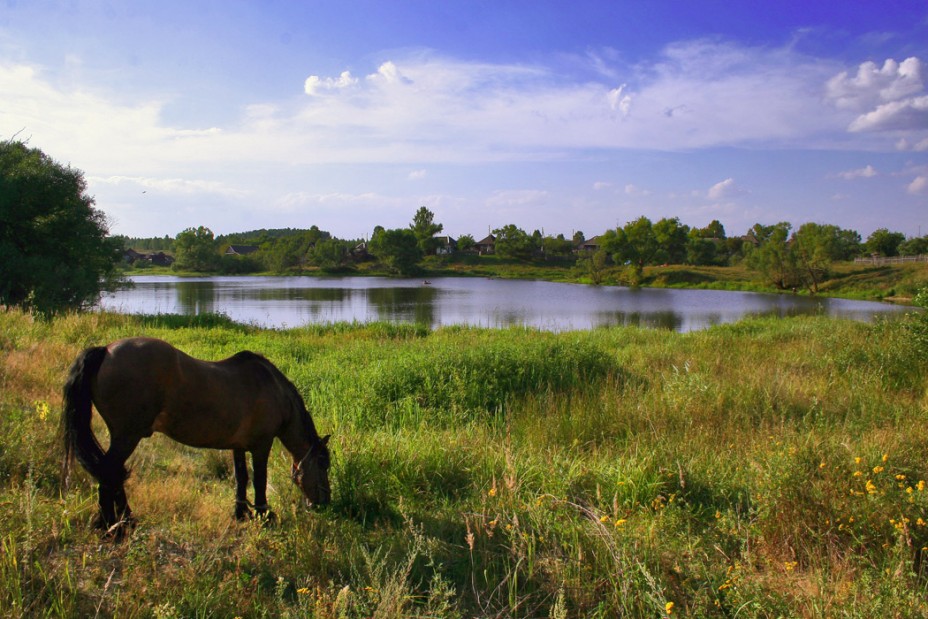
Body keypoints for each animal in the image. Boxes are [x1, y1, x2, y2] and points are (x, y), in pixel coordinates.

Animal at [61, 336, 330, 536]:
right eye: (323, 465)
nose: (324, 502)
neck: (273, 389)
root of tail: (105, 351)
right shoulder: (261, 446)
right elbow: (259, 480)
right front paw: (265, 515)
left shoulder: (238, 446)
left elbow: (241, 478)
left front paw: (241, 514)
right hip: (127, 436)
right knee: (109, 472)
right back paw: (113, 525)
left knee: (112, 474)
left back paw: (123, 521)